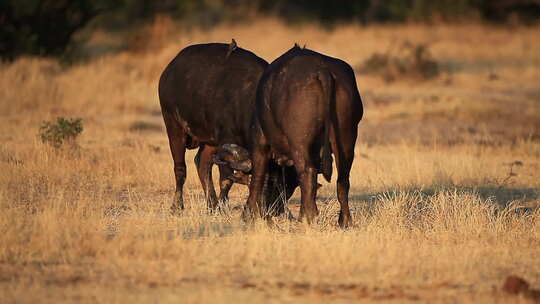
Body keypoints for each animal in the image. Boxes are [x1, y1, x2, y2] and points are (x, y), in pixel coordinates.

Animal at [157, 40, 266, 211]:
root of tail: (169, 70)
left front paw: (220, 205)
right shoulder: (225, 141)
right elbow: (226, 180)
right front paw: (222, 206)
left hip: (210, 141)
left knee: (202, 163)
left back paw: (211, 204)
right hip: (173, 126)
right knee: (180, 169)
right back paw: (177, 206)